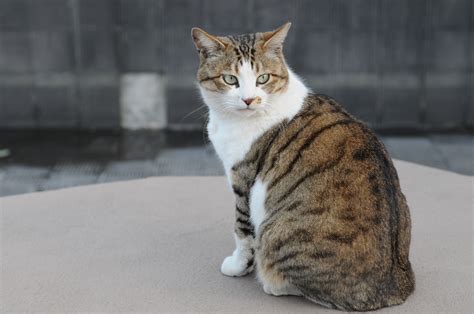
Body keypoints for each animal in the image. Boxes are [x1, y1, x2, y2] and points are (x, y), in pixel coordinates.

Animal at [191, 22, 412, 312]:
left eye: (263, 78)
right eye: (230, 80)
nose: (249, 100)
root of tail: (394, 288)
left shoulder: (243, 180)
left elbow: (241, 229)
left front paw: (238, 265)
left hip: (276, 233)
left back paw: (272, 283)